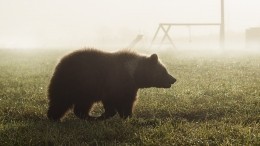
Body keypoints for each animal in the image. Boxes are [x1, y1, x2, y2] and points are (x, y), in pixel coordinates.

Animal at [47, 48, 177, 121]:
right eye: (164, 71)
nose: (173, 79)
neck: (134, 74)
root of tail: (60, 62)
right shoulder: (117, 83)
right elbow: (122, 102)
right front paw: (125, 116)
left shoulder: (125, 87)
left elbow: (119, 103)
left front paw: (122, 116)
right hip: (77, 83)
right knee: (61, 100)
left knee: (73, 104)